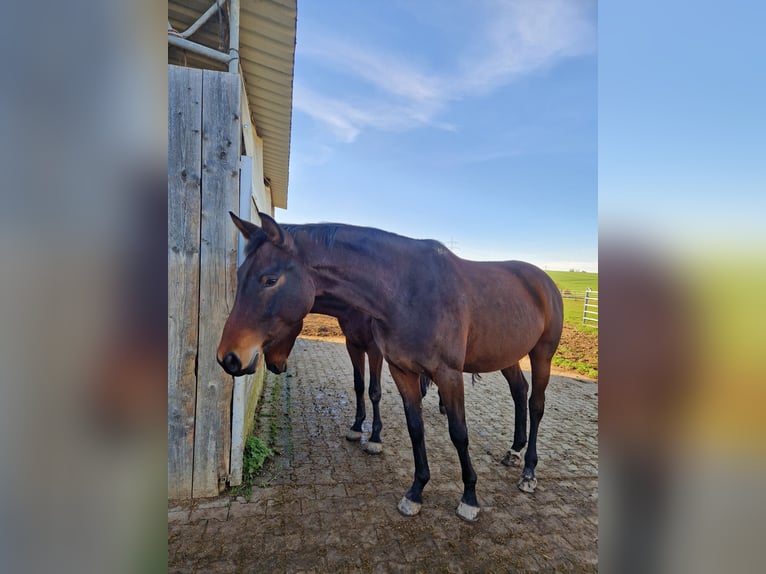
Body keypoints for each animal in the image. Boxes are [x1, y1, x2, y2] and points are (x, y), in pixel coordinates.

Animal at [218, 214, 564, 524]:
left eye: (270, 279)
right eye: (241, 274)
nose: (228, 358)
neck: (404, 292)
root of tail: (545, 281)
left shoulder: (447, 374)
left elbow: (458, 432)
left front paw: (469, 498)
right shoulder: (399, 368)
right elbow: (413, 426)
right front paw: (416, 491)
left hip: (542, 355)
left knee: (536, 404)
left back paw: (529, 471)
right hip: (508, 356)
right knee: (519, 391)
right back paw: (514, 450)